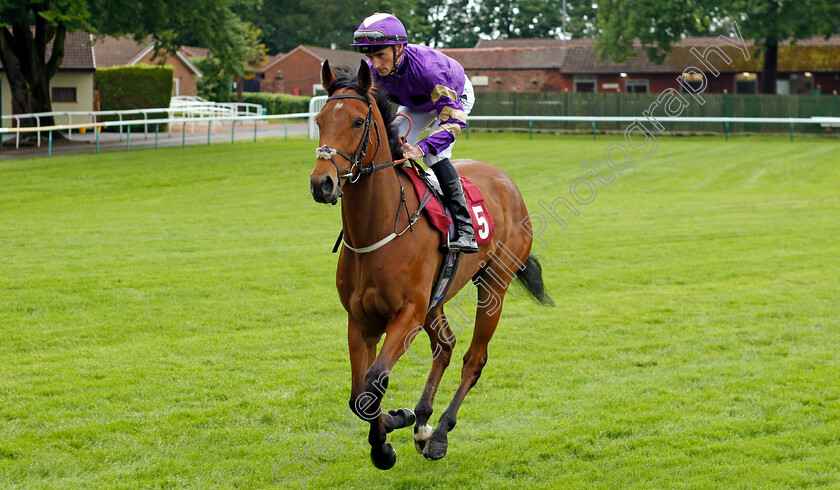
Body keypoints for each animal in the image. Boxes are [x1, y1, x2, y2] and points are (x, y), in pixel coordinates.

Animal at [308, 61, 552, 470]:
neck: (380, 226)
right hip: (435, 301)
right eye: (320, 119)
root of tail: (506, 181)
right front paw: (397, 422)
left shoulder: (406, 313)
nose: (321, 183)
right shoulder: (360, 320)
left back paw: (438, 433)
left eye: (357, 121)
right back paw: (422, 422)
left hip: (493, 285)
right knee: (446, 346)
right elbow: (360, 396)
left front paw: (385, 444)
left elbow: (375, 381)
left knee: (473, 358)